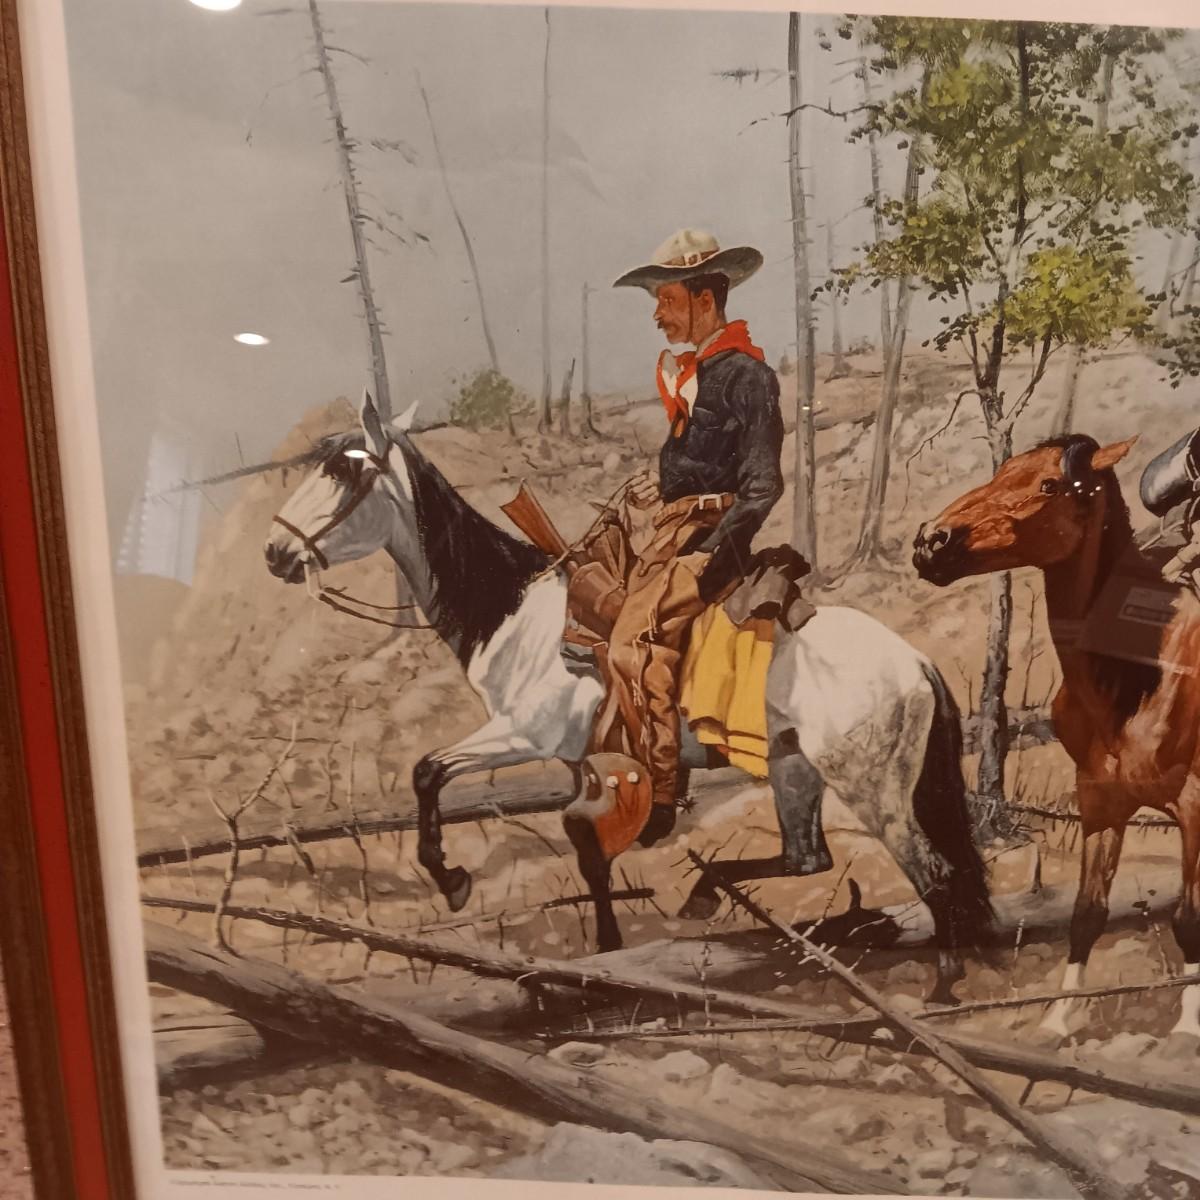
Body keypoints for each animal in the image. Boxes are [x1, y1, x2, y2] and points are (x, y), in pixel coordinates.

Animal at [264, 392, 993, 992]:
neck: (519, 614)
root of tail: (914, 663)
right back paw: (706, 892)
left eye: (347, 472)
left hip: (873, 788)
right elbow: (588, 855)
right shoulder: (582, 764)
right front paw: (609, 951)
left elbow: (427, 771)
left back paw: (942, 985)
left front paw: (452, 880)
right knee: (806, 858)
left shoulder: (522, 736)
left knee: (933, 873)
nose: (275, 552)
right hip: (794, 770)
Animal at [914, 433, 1200, 1039]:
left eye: (1049, 484)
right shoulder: (1100, 802)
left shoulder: (1195, 806)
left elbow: (1190, 918)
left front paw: (1188, 1027)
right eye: (1001, 473)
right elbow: (1086, 914)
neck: (1143, 671)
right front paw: (1060, 1018)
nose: (931, 541)